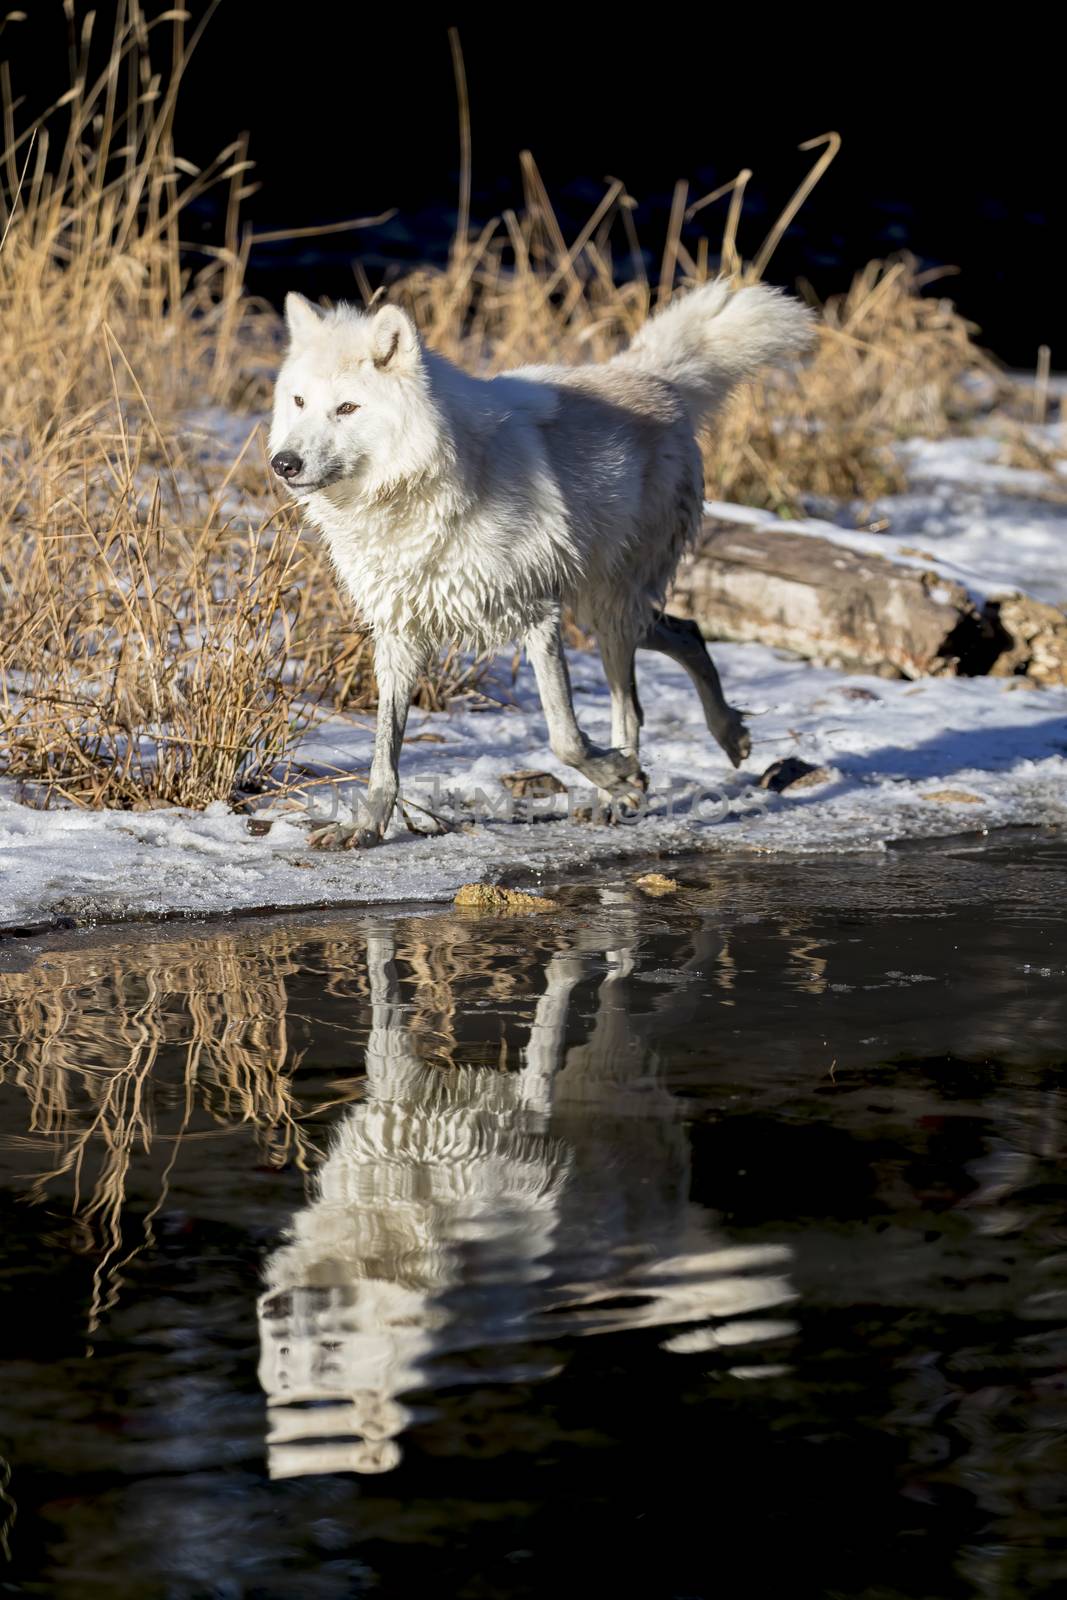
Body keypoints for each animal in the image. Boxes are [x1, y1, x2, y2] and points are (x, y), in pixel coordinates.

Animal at [267, 283, 809, 851]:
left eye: (347, 408)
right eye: (299, 402)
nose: (284, 463)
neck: (413, 492)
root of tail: (650, 375)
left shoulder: (537, 614)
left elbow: (564, 737)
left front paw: (619, 776)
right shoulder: (400, 631)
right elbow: (383, 752)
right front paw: (368, 825)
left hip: (609, 610)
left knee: (633, 703)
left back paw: (629, 791)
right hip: (603, 609)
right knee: (687, 631)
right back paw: (724, 737)